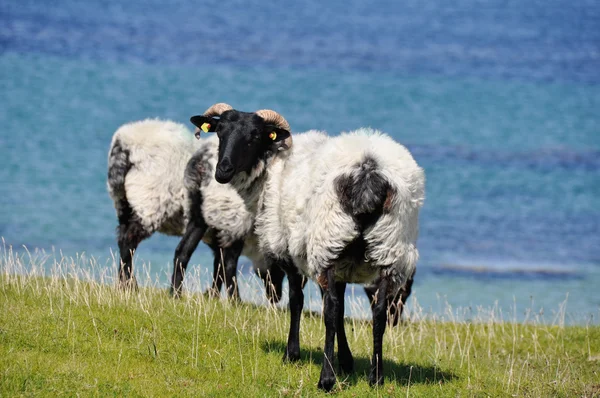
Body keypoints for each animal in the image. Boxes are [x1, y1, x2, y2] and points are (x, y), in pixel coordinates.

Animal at [106, 109, 284, 302]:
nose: (276, 297)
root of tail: (124, 145)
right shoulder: (233, 224)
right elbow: (226, 262)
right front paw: (228, 299)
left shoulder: (216, 230)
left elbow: (217, 263)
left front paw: (212, 296)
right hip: (151, 202)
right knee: (128, 240)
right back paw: (131, 287)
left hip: (123, 201)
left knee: (124, 238)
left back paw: (126, 286)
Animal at [190, 104, 424, 390]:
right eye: (220, 131)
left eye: (254, 136)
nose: (222, 171)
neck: (271, 166)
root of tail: (368, 171)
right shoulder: (343, 265)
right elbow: (342, 308)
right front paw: (346, 361)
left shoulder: (289, 251)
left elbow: (298, 301)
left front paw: (292, 354)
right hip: (388, 247)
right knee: (378, 310)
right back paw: (376, 377)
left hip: (328, 239)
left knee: (330, 310)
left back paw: (326, 379)